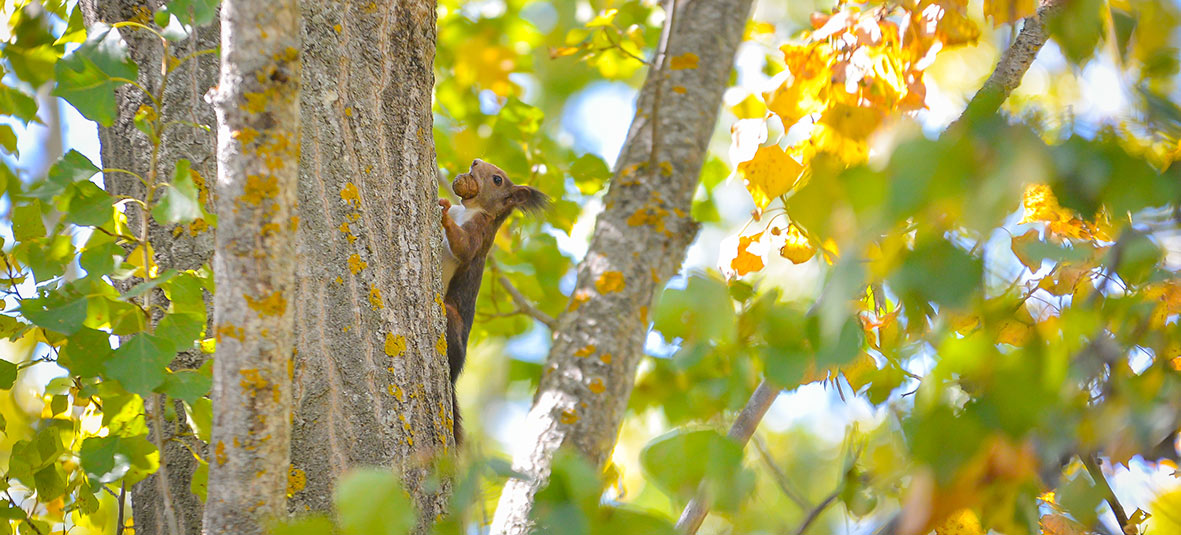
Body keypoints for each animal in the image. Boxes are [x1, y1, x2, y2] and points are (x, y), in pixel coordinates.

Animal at [439, 159, 548, 444]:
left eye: (498, 180)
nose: (475, 161)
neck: (470, 209)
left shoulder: (480, 231)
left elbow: (465, 247)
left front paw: (443, 214)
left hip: (452, 319)